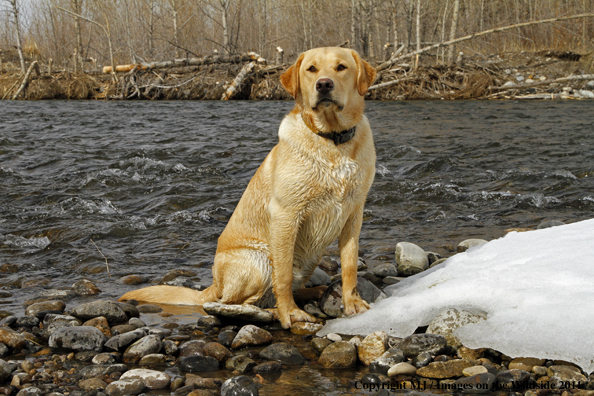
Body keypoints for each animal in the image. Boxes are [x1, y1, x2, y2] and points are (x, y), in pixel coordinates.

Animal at [119, 48, 374, 330]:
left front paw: (352, 303)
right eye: (311, 69)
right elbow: (283, 275)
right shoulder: (286, 215)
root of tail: (213, 285)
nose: (324, 85)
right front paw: (289, 313)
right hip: (258, 261)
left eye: (341, 67)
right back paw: (274, 311)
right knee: (233, 303)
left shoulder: (353, 213)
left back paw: (313, 293)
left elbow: (349, 265)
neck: (332, 141)